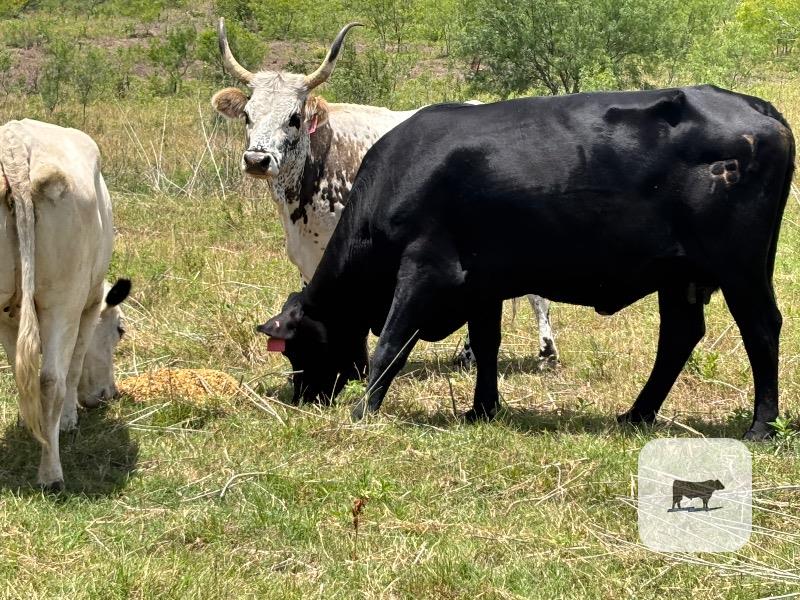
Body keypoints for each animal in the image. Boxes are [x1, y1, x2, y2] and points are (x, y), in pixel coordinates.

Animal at [0, 119, 131, 490]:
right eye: (119, 330)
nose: (109, 394)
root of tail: (14, 143)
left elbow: (19, 373)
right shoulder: (87, 306)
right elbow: (73, 366)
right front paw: (69, 419)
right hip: (64, 299)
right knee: (51, 381)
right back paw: (51, 474)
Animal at [256, 86, 794, 440]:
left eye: (295, 347)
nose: (302, 395)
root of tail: (757, 107)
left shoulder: (426, 270)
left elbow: (392, 343)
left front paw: (363, 412)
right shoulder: (481, 284)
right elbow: (485, 344)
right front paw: (481, 410)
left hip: (741, 269)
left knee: (761, 329)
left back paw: (760, 426)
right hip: (679, 275)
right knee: (680, 337)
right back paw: (637, 415)